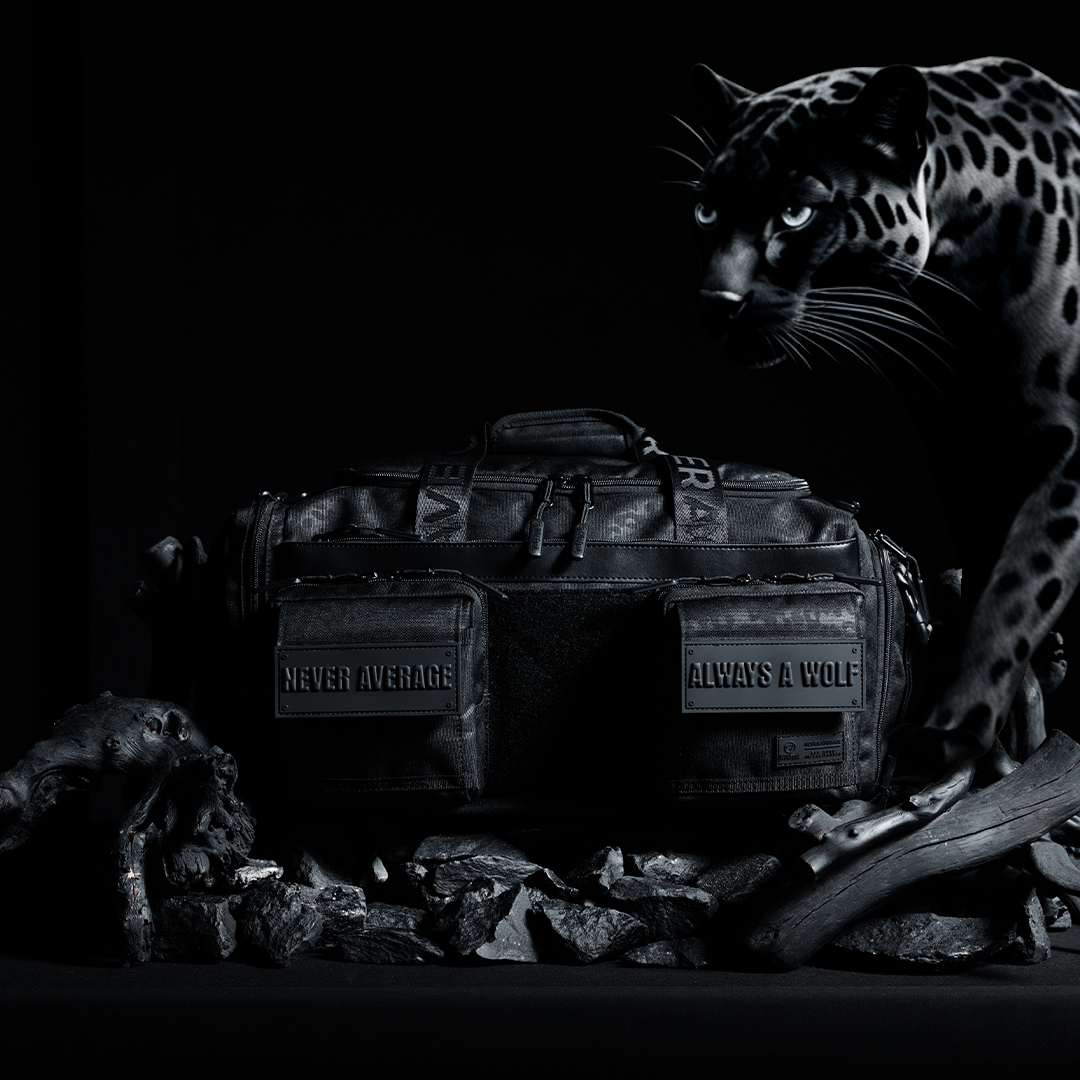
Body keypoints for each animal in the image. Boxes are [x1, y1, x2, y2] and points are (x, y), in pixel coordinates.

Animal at [671, 57, 1080, 766]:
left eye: (796, 214)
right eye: (706, 210)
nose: (716, 302)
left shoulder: (1064, 446)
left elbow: (1021, 578)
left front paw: (953, 724)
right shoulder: (956, 442)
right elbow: (986, 554)